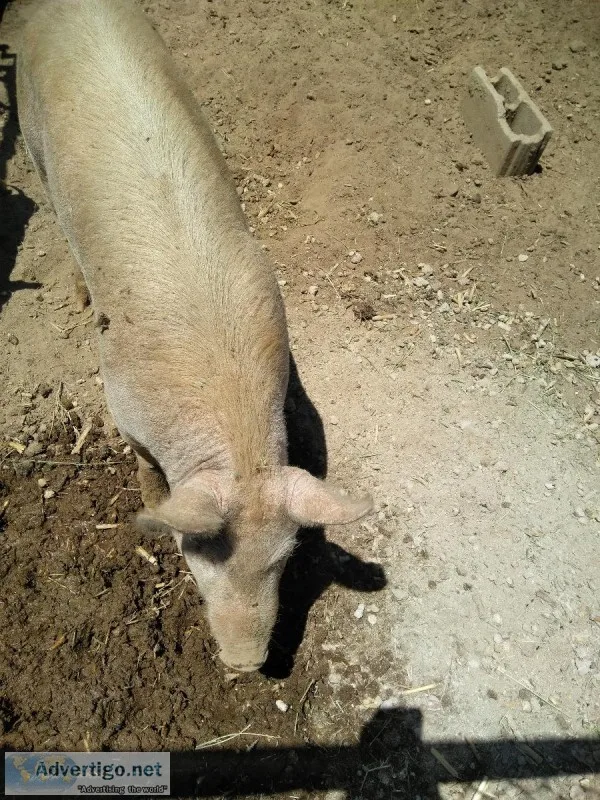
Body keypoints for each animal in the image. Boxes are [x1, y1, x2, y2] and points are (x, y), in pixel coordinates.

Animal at [17, 0, 373, 671]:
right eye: (196, 554)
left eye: (284, 560)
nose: (246, 664)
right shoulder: (121, 400)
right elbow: (144, 470)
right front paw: (148, 501)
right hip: (29, 127)